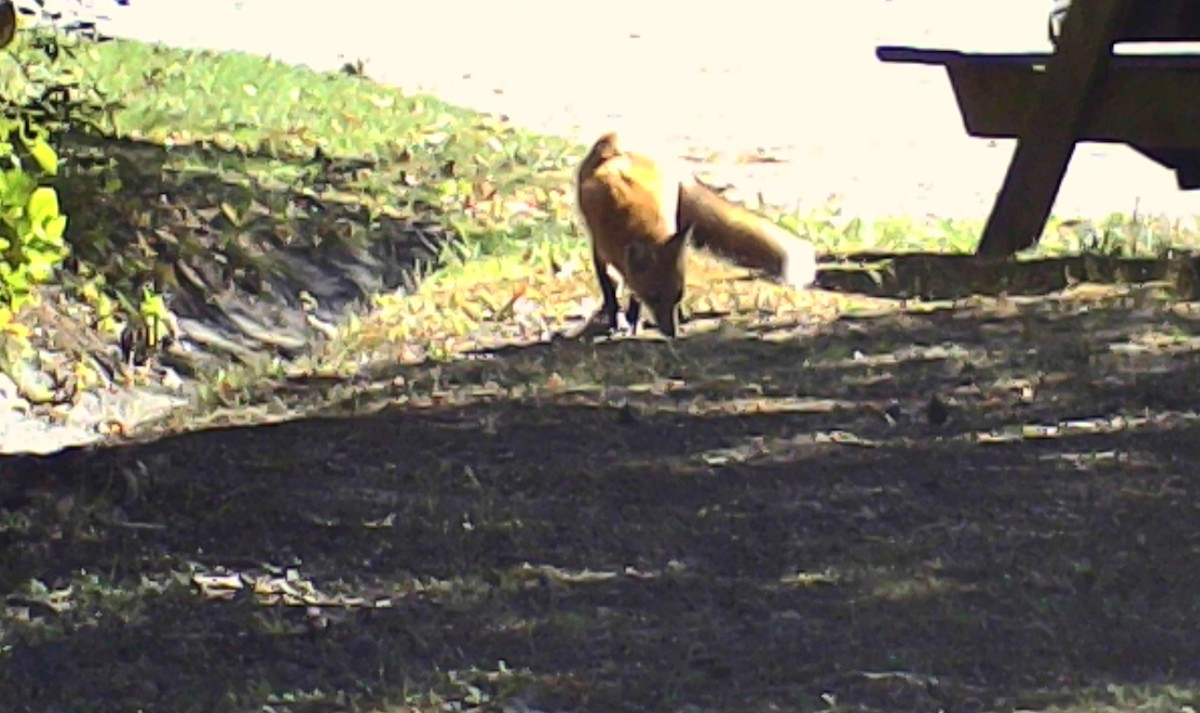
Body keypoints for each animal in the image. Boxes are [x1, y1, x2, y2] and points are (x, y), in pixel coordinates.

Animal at [575, 131, 818, 338]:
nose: (672, 334)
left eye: (677, 295)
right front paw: (617, 321)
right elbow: (610, 291)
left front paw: (635, 322)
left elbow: (633, 296)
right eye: (654, 297)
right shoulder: (599, 248)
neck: (624, 213)